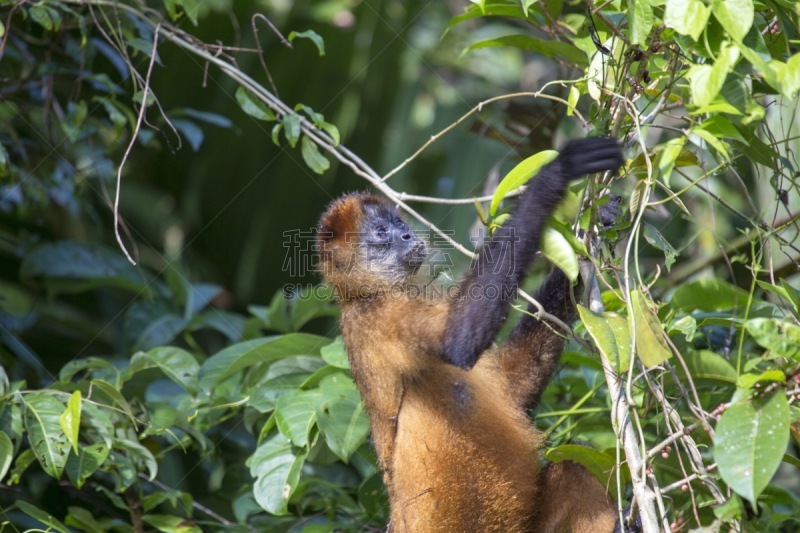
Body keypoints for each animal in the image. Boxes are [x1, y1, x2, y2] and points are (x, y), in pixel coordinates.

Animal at [316, 138, 628, 532]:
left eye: (398, 223)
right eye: (381, 234)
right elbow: (459, 339)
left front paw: (602, 217)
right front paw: (559, 171)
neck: (365, 293)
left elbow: (514, 386)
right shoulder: (380, 315)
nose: (407, 234)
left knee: (576, 466)